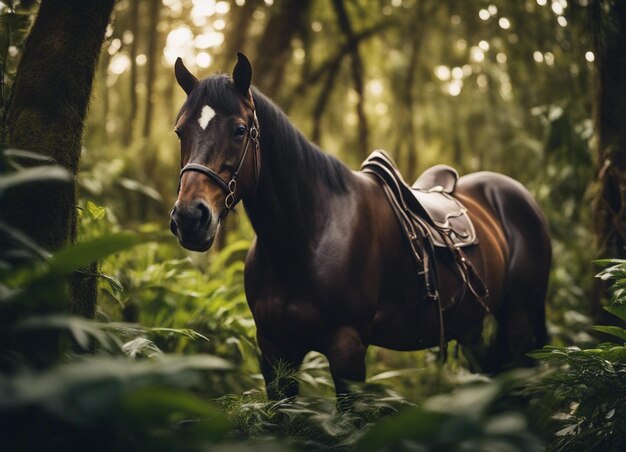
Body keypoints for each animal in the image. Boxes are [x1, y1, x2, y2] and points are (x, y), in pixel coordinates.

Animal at [168, 53, 548, 400]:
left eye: (239, 130)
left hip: (516, 323)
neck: (304, 239)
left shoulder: (346, 350)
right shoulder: (275, 352)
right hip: (473, 332)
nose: (189, 218)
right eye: (180, 131)